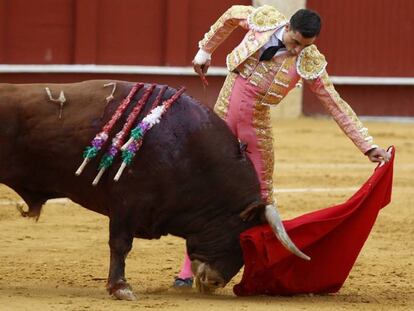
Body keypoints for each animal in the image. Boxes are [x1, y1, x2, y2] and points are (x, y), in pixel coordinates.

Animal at [0, 80, 308, 300]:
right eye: (240, 237)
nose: (214, 282)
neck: (188, 151)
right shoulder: (127, 204)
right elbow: (120, 245)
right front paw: (120, 288)